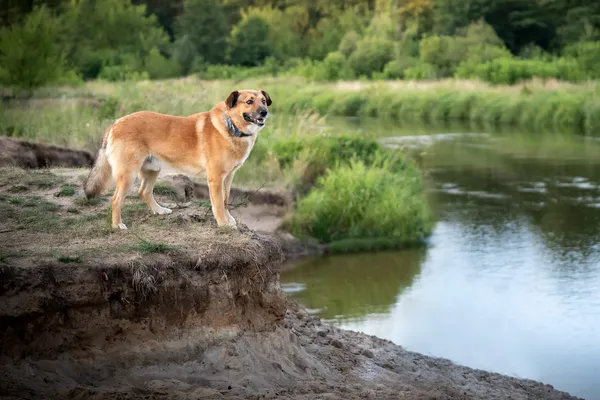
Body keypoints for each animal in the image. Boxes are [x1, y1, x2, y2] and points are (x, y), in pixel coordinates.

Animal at [84, 89, 272, 230]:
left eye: (263, 101)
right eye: (249, 101)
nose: (265, 112)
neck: (230, 125)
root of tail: (115, 124)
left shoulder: (228, 178)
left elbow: (225, 201)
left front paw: (228, 219)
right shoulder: (216, 179)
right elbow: (218, 204)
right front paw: (223, 223)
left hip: (153, 169)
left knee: (144, 192)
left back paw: (159, 210)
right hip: (128, 174)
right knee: (116, 199)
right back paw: (117, 225)